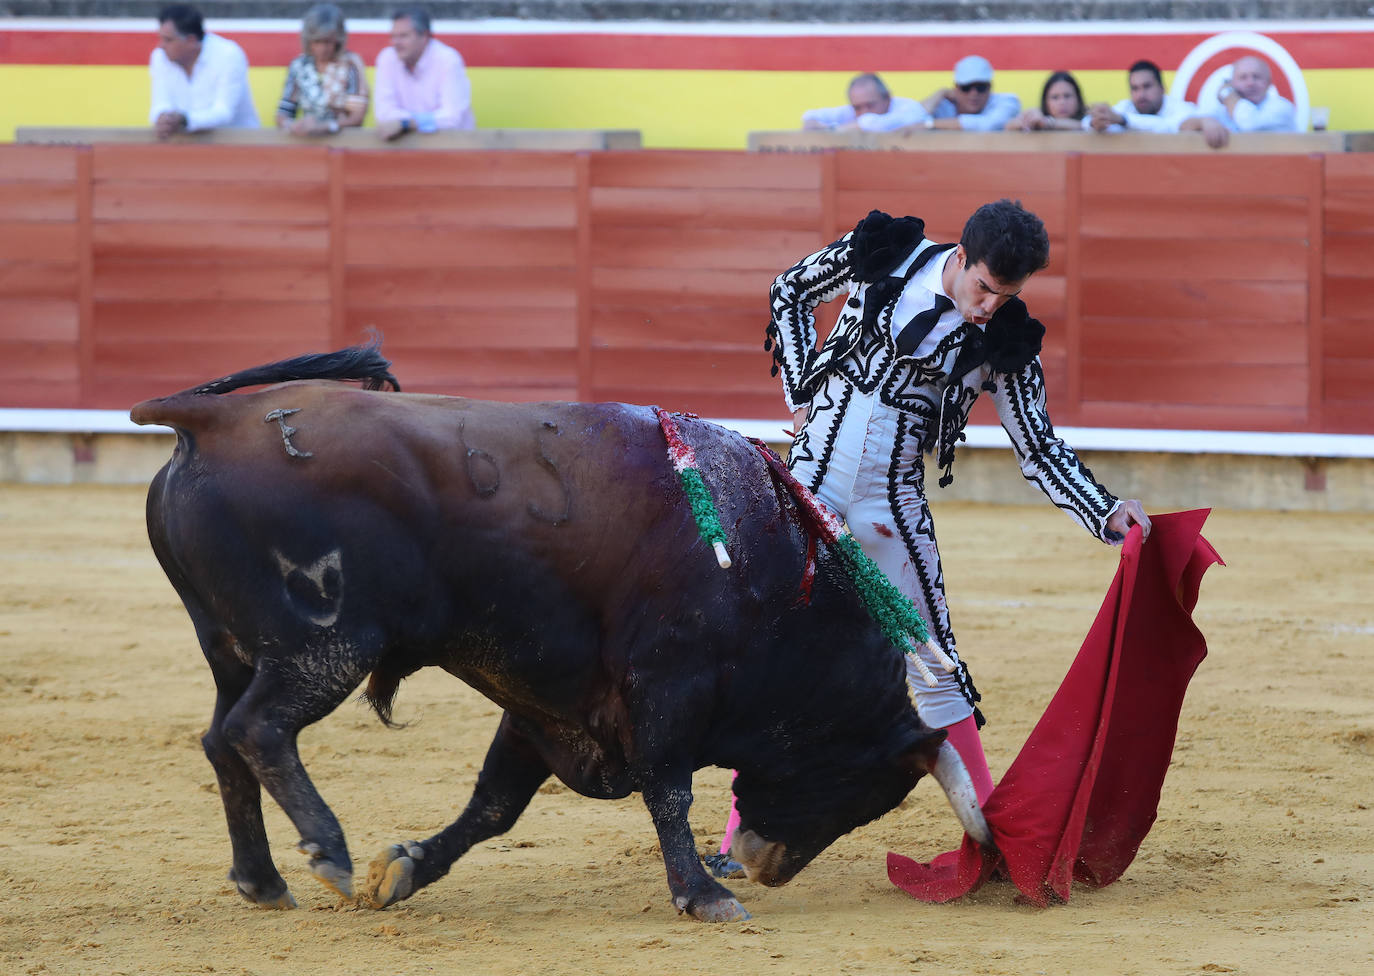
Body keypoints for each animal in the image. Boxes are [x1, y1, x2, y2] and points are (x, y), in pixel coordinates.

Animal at [129, 346, 989, 923]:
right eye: (861, 787)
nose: (763, 864)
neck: (776, 575)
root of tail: (214, 415)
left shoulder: (546, 701)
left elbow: (494, 806)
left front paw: (405, 869)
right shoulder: (668, 685)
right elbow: (668, 788)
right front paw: (702, 894)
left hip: (232, 650)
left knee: (221, 740)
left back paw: (263, 880)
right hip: (326, 646)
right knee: (260, 730)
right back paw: (327, 855)